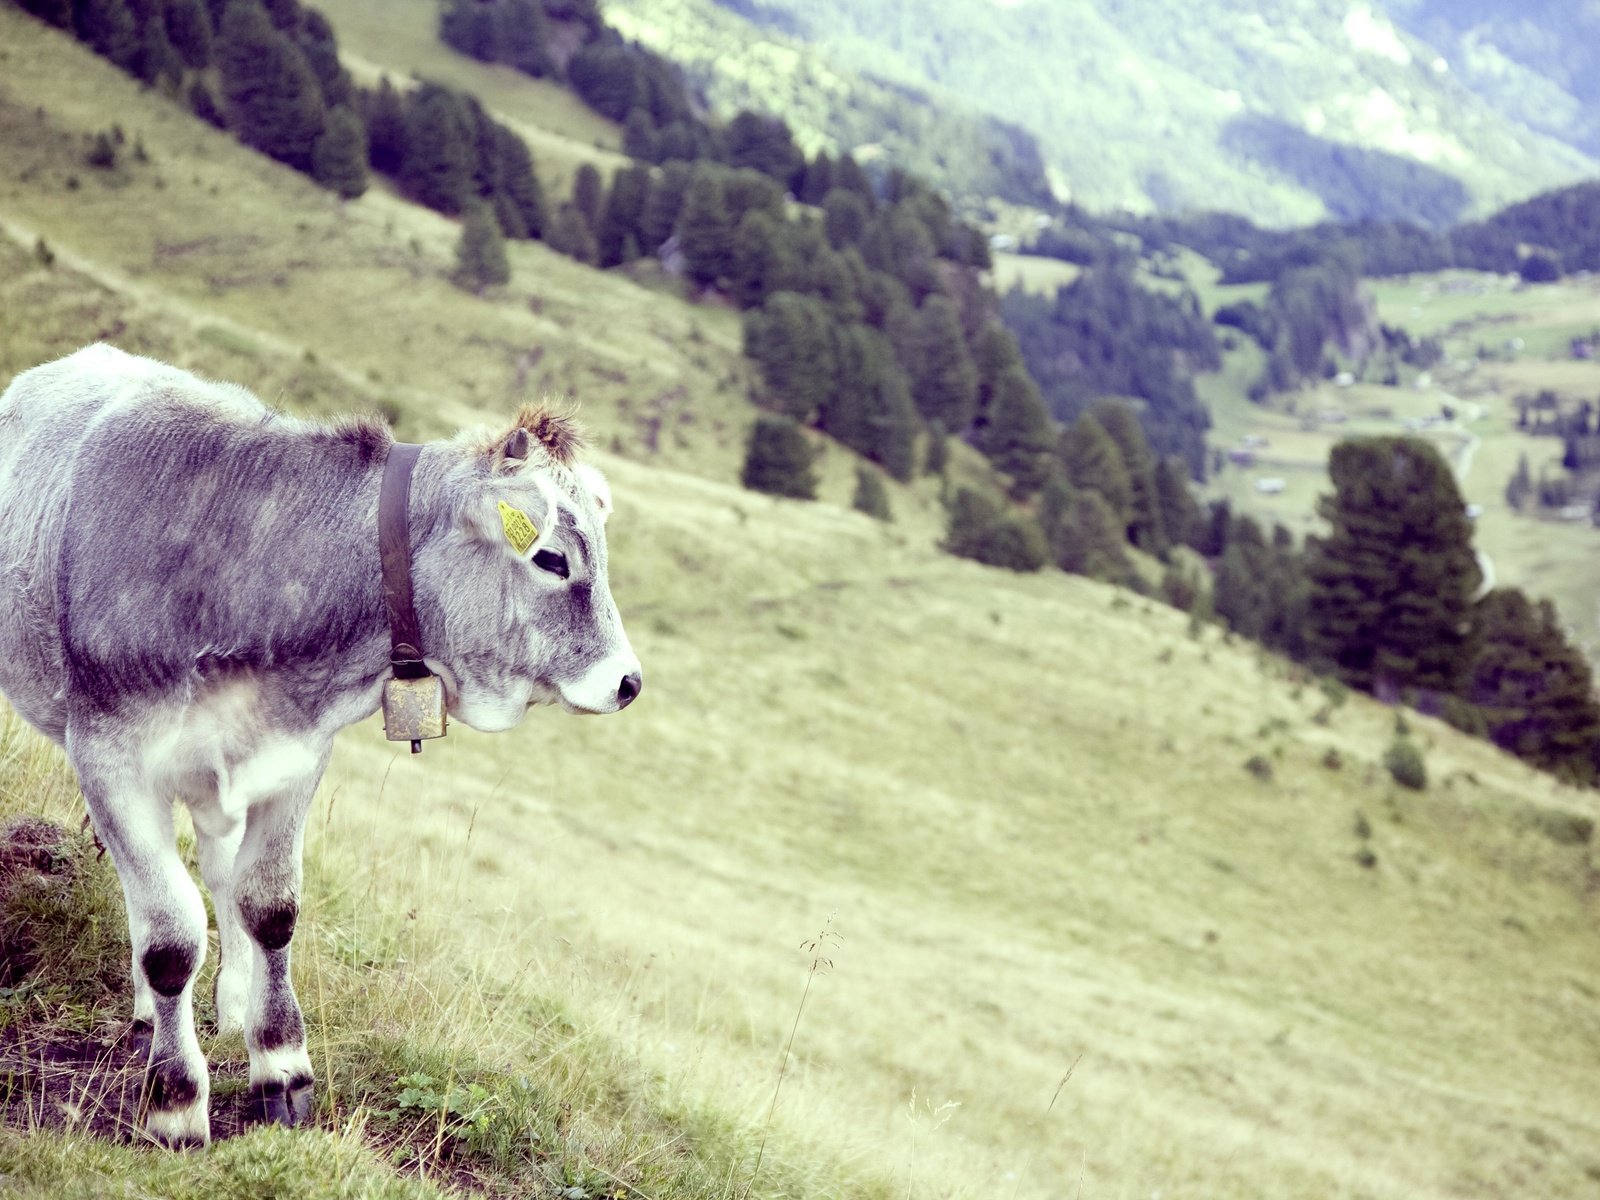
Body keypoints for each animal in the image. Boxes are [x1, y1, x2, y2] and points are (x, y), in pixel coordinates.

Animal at [0, 342, 640, 1152]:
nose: (628, 681)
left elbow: (269, 907)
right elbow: (170, 937)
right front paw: (175, 1102)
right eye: (552, 558)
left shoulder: (294, 757)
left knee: (217, 873)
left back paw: (230, 1001)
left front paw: (279, 1064)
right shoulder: (110, 757)